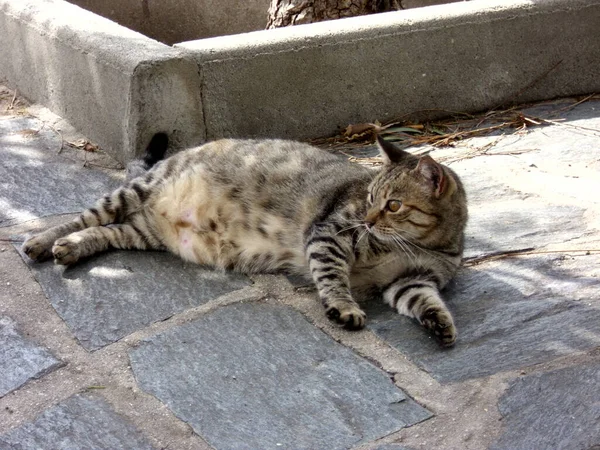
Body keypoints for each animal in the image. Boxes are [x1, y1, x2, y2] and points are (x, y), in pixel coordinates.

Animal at [22, 135, 468, 346]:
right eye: (371, 199)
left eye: (392, 205)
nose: (370, 220)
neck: (422, 245)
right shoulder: (329, 235)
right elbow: (333, 278)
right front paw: (343, 306)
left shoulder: (411, 280)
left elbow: (425, 301)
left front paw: (441, 323)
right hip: (132, 194)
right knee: (81, 217)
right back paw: (42, 242)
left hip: (142, 233)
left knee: (105, 231)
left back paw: (72, 247)